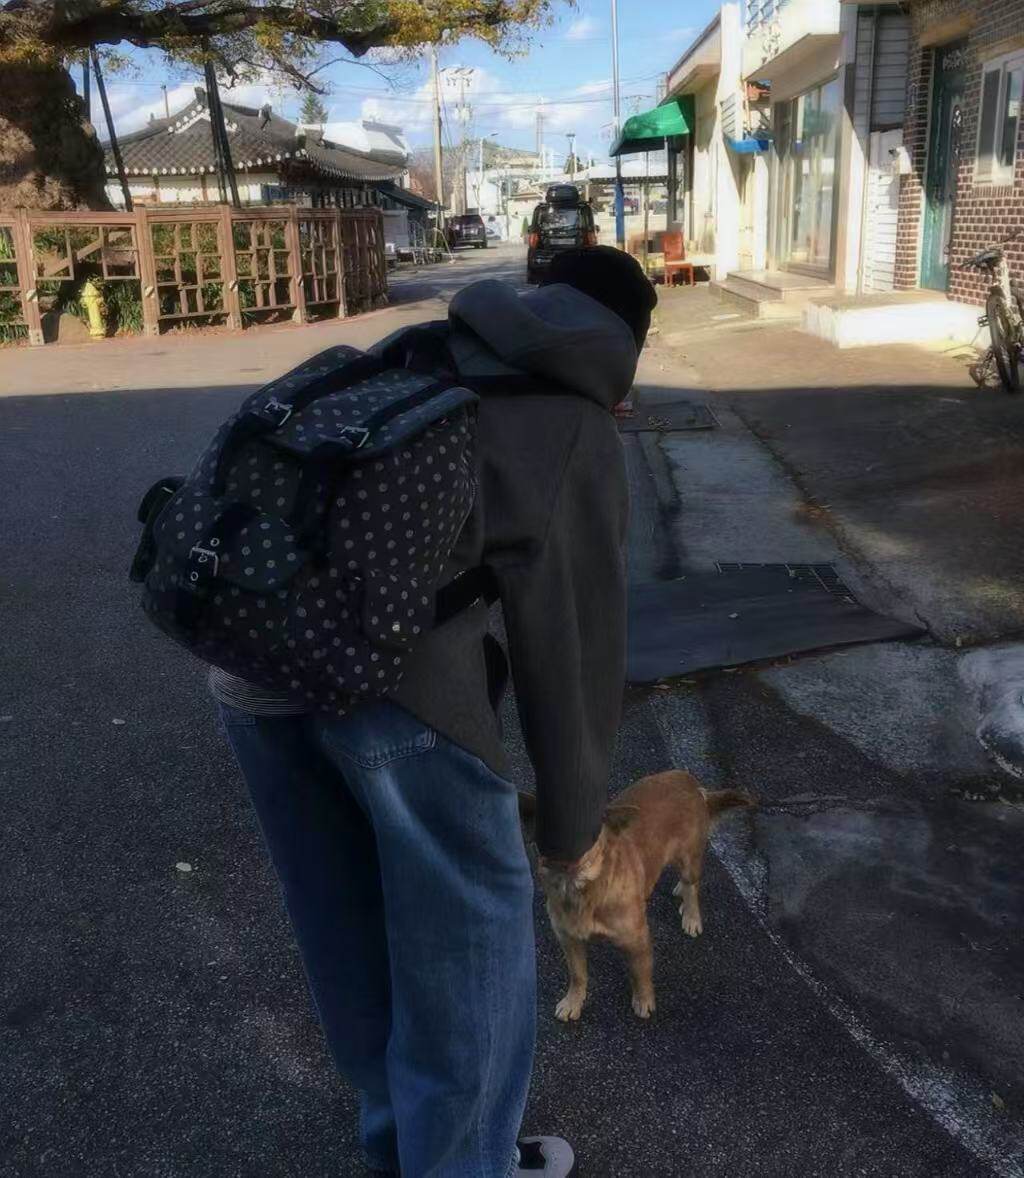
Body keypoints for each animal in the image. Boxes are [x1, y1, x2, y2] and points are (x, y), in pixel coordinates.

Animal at [519, 771, 755, 1021]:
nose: (559, 851)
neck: (581, 889)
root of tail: (689, 780)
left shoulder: (637, 939)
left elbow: (640, 973)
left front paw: (643, 1000)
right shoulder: (569, 939)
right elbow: (577, 975)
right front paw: (573, 1001)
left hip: (689, 861)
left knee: (693, 885)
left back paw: (691, 915)